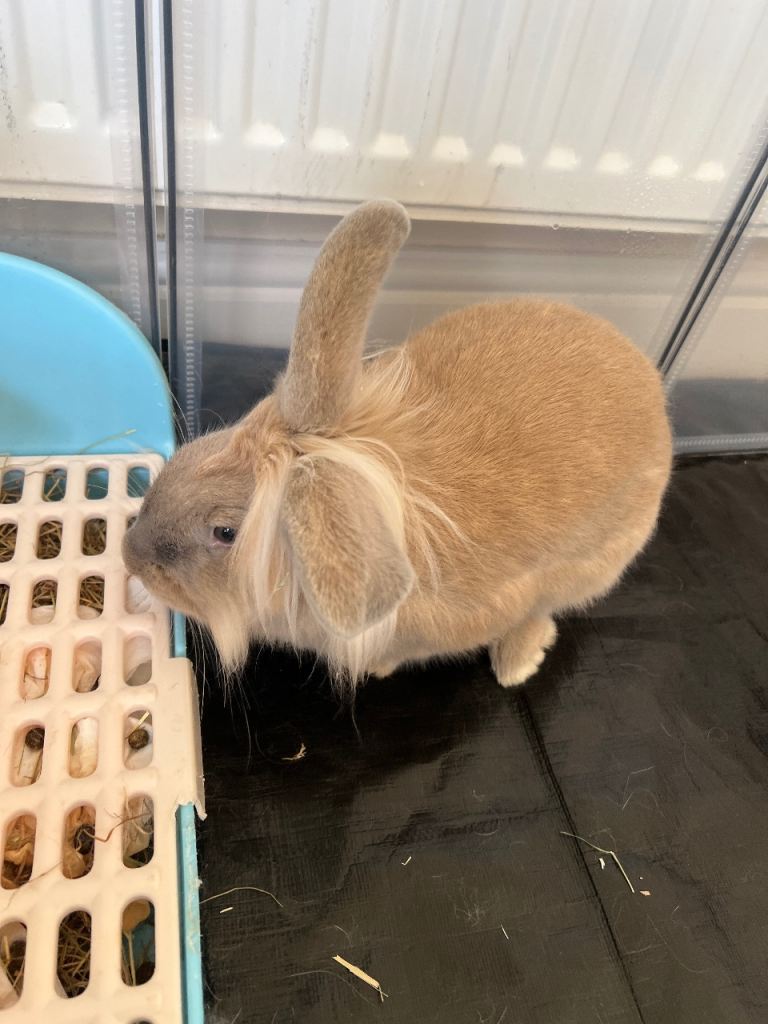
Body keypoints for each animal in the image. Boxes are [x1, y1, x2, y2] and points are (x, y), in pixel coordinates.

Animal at [123, 199, 672, 689]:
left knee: (544, 613)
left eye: (225, 533)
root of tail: (651, 381)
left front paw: (377, 668)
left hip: (592, 566)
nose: (131, 554)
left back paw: (516, 666)